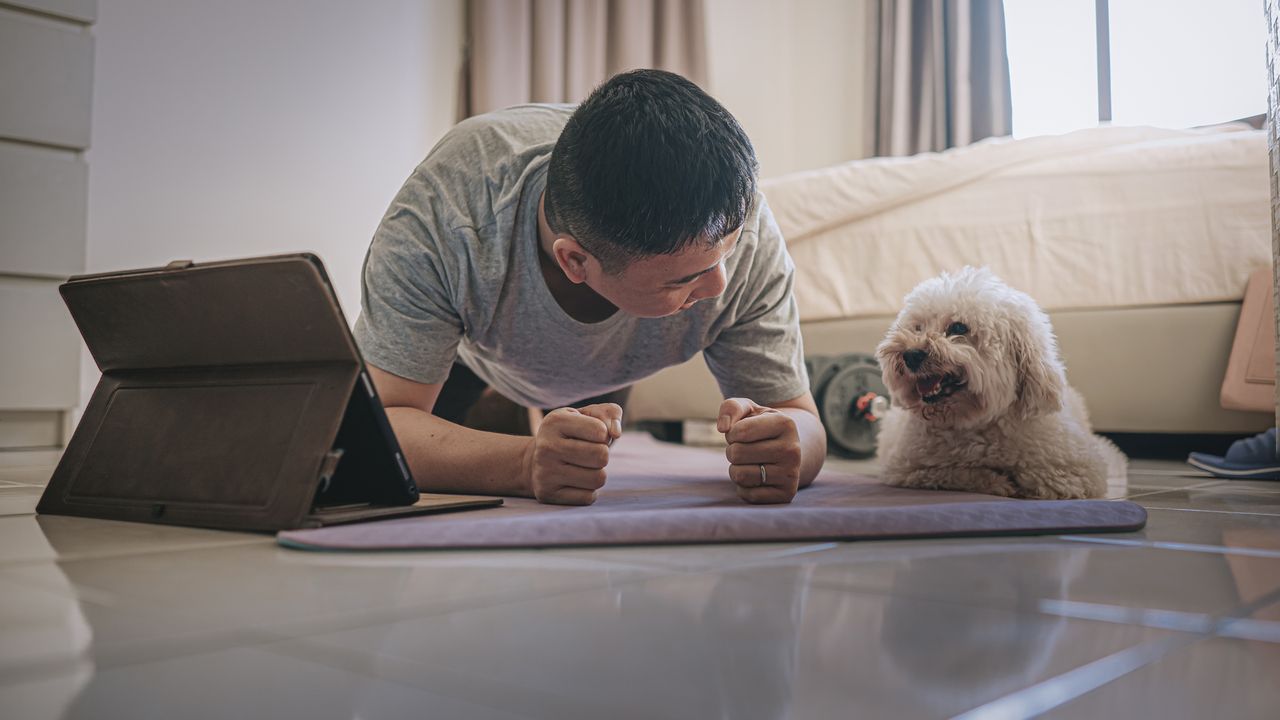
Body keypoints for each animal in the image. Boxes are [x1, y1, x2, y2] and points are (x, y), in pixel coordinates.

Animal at [875, 266, 1126, 497]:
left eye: (958, 327)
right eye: (917, 327)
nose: (910, 355)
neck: (976, 422)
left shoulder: (1078, 471)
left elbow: (1041, 476)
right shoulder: (906, 469)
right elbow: (955, 472)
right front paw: (997, 481)